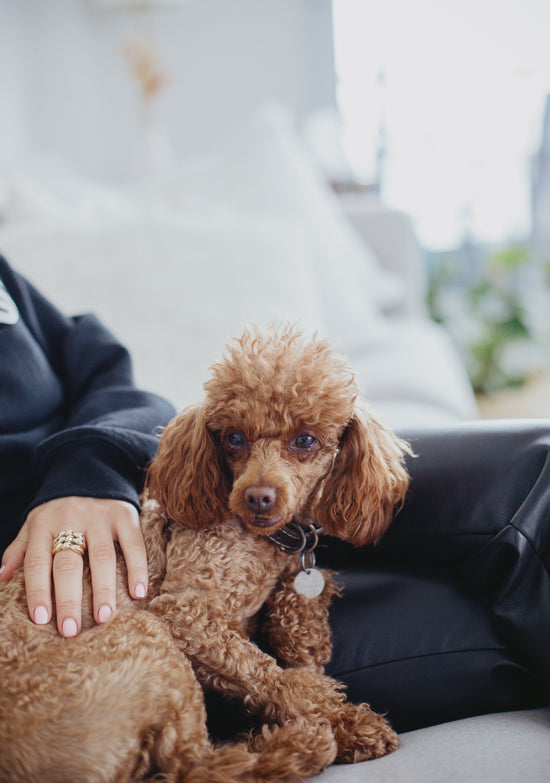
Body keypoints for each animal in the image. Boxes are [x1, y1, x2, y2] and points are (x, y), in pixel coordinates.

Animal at [0, 326, 410, 783]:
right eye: (234, 438)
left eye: (305, 440)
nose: (258, 497)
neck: (262, 540)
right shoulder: (185, 615)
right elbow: (269, 675)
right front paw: (345, 719)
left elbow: (297, 612)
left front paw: (311, 645)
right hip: (143, 636)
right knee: (196, 764)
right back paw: (302, 744)